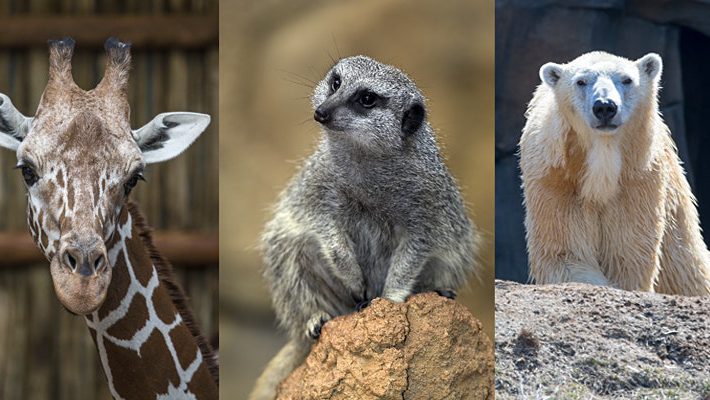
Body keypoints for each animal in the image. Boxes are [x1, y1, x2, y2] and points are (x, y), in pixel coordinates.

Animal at [520, 51, 710, 296]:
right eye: (581, 81)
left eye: (627, 79)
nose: (604, 107)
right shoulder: (556, 178)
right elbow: (565, 251)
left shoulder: (637, 177)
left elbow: (627, 251)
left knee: (685, 266)